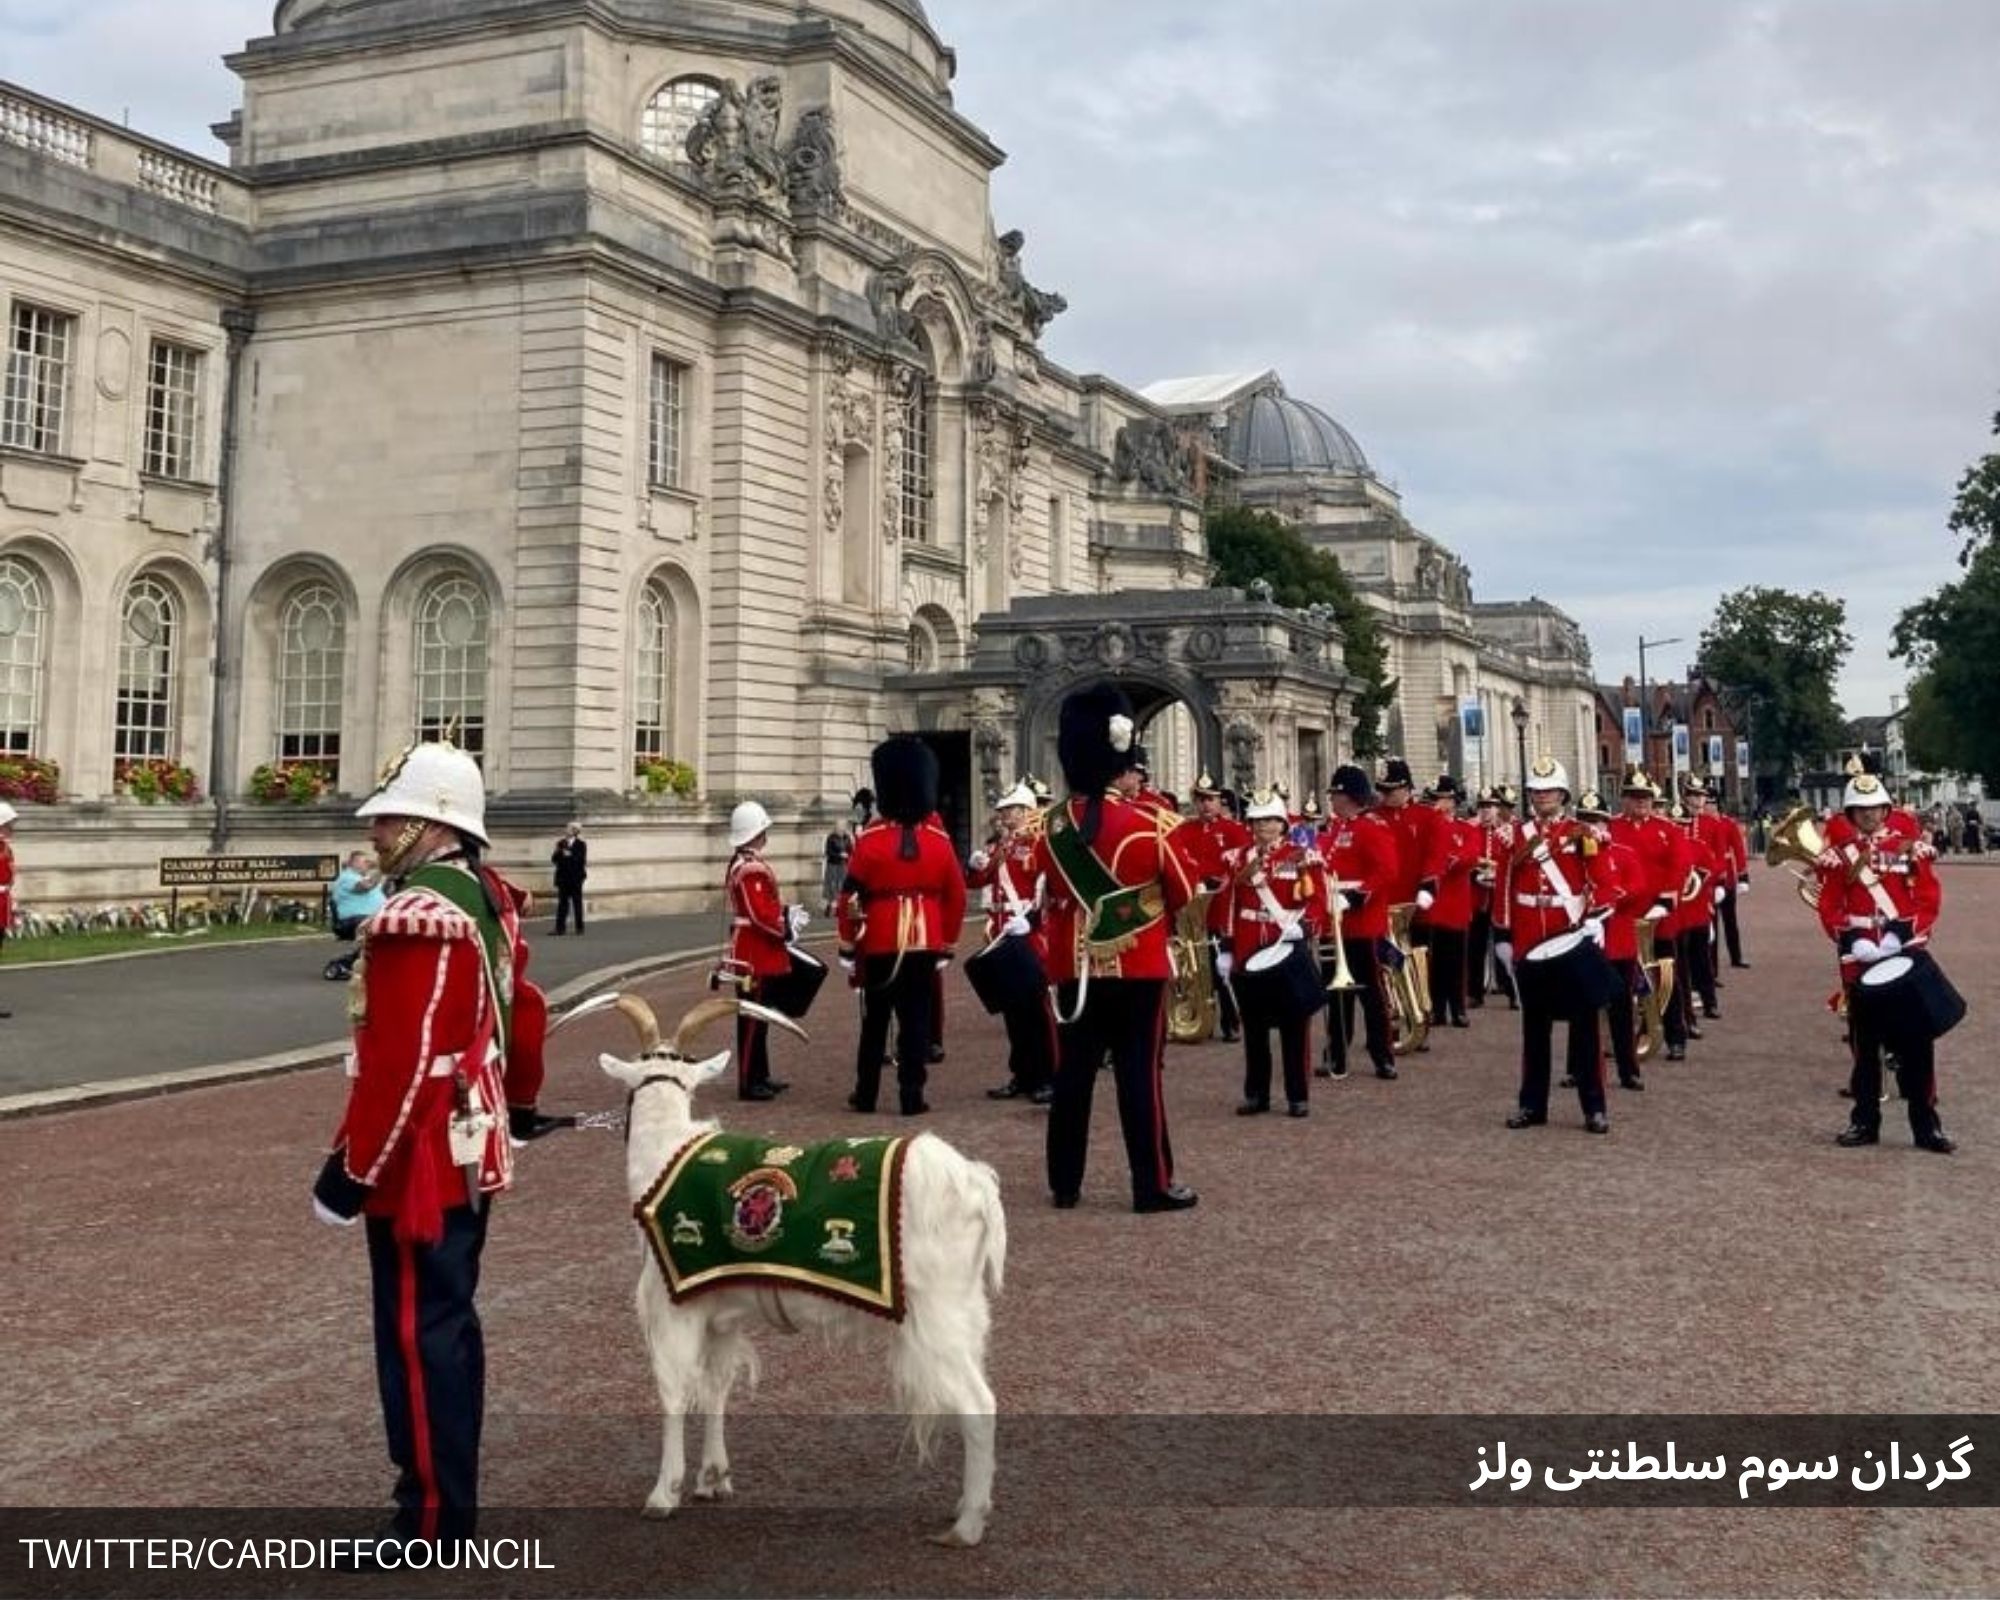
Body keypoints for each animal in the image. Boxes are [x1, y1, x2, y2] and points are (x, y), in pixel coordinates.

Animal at [588, 992, 1000, 1544]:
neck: (667, 1154)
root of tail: (974, 1184)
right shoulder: (720, 1310)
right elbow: (716, 1387)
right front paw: (713, 1478)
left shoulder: (674, 1303)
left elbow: (672, 1390)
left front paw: (662, 1494)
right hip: (963, 1309)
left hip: (934, 1314)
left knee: (980, 1403)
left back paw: (967, 1525)